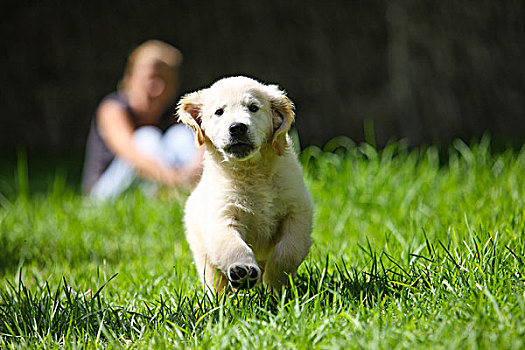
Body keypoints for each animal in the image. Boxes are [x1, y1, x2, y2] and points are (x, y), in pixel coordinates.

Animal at [178, 76, 314, 292]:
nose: (237, 127)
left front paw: (276, 282)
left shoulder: (297, 211)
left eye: (253, 107)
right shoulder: (221, 218)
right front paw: (243, 271)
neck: (252, 172)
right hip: (201, 253)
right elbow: (232, 246)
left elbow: (288, 251)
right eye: (219, 112)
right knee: (214, 281)